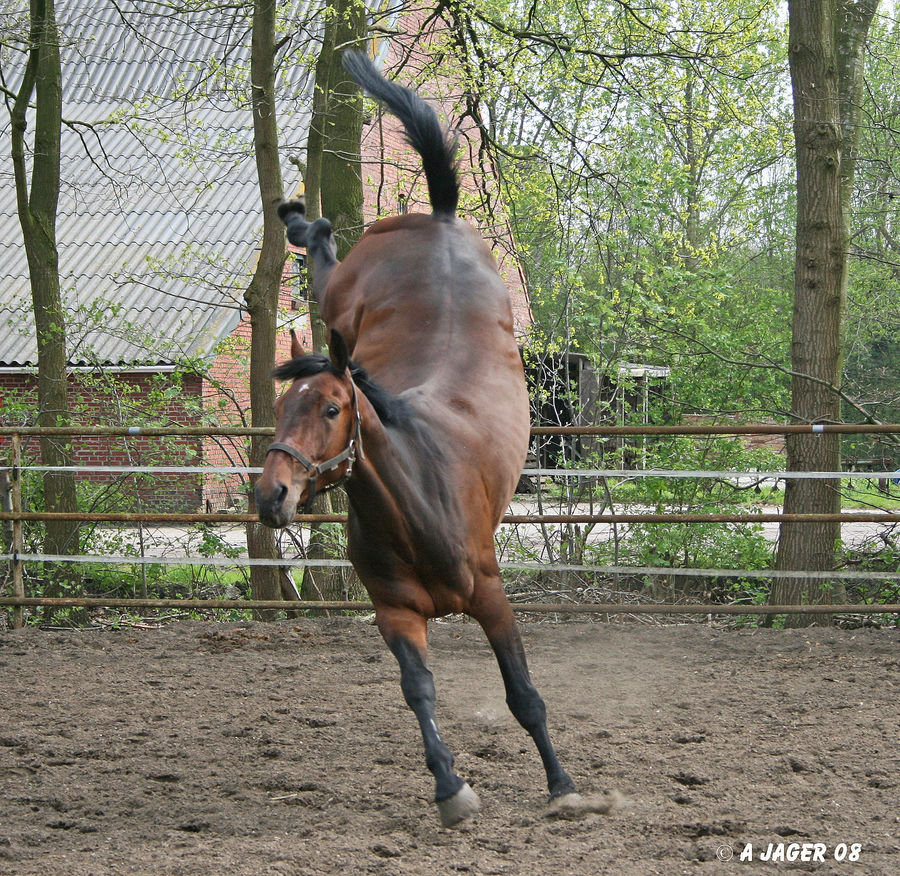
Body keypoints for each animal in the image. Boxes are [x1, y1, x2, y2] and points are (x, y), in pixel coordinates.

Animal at [255, 53, 576, 828]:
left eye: (332, 409)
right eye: (279, 410)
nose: (271, 495)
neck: (416, 496)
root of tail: (439, 217)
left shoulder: (492, 595)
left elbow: (523, 693)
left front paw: (562, 785)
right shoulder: (396, 613)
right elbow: (419, 693)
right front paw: (451, 788)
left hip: (341, 292)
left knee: (324, 259)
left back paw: (304, 220)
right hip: (339, 296)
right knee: (321, 259)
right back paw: (301, 220)